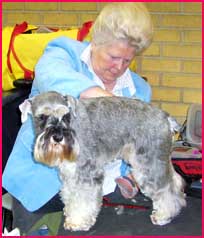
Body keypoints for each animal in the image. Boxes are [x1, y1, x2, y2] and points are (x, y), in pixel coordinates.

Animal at [22, 90, 186, 231]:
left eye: (66, 116)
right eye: (42, 117)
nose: (58, 137)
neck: (72, 126)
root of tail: (165, 117)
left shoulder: (87, 173)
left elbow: (83, 199)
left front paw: (78, 221)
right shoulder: (70, 174)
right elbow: (70, 195)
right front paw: (70, 214)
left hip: (149, 164)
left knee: (166, 190)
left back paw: (164, 215)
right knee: (175, 181)